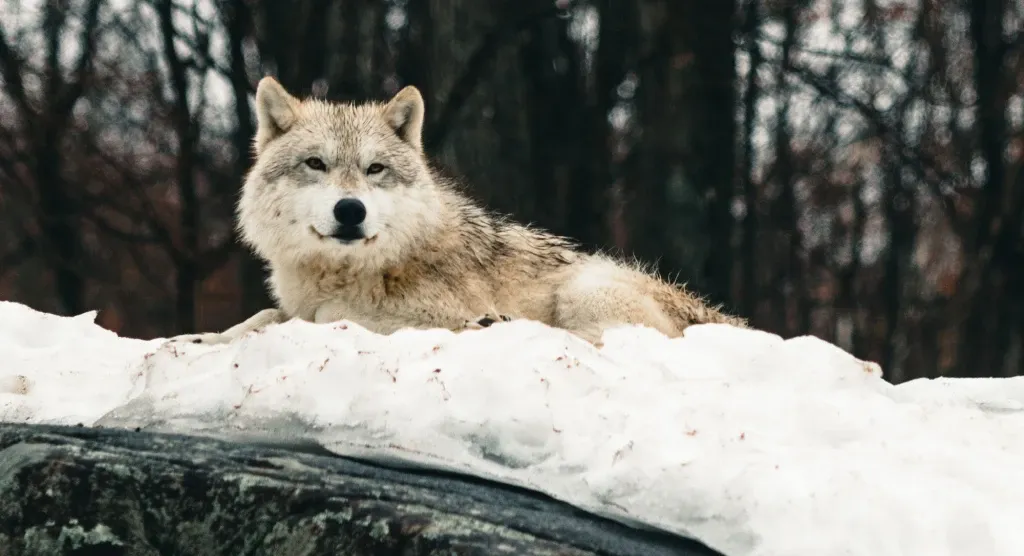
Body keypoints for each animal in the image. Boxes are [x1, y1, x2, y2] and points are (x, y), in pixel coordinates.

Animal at [168, 76, 746, 347]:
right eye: (316, 164)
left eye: (375, 169)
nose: (350, 210)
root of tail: (727, 319)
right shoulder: (290, 304)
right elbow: (263, 316)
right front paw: (199, 338)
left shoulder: (417, 312)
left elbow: (330, 316)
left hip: (585, 287)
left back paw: (494, 324)